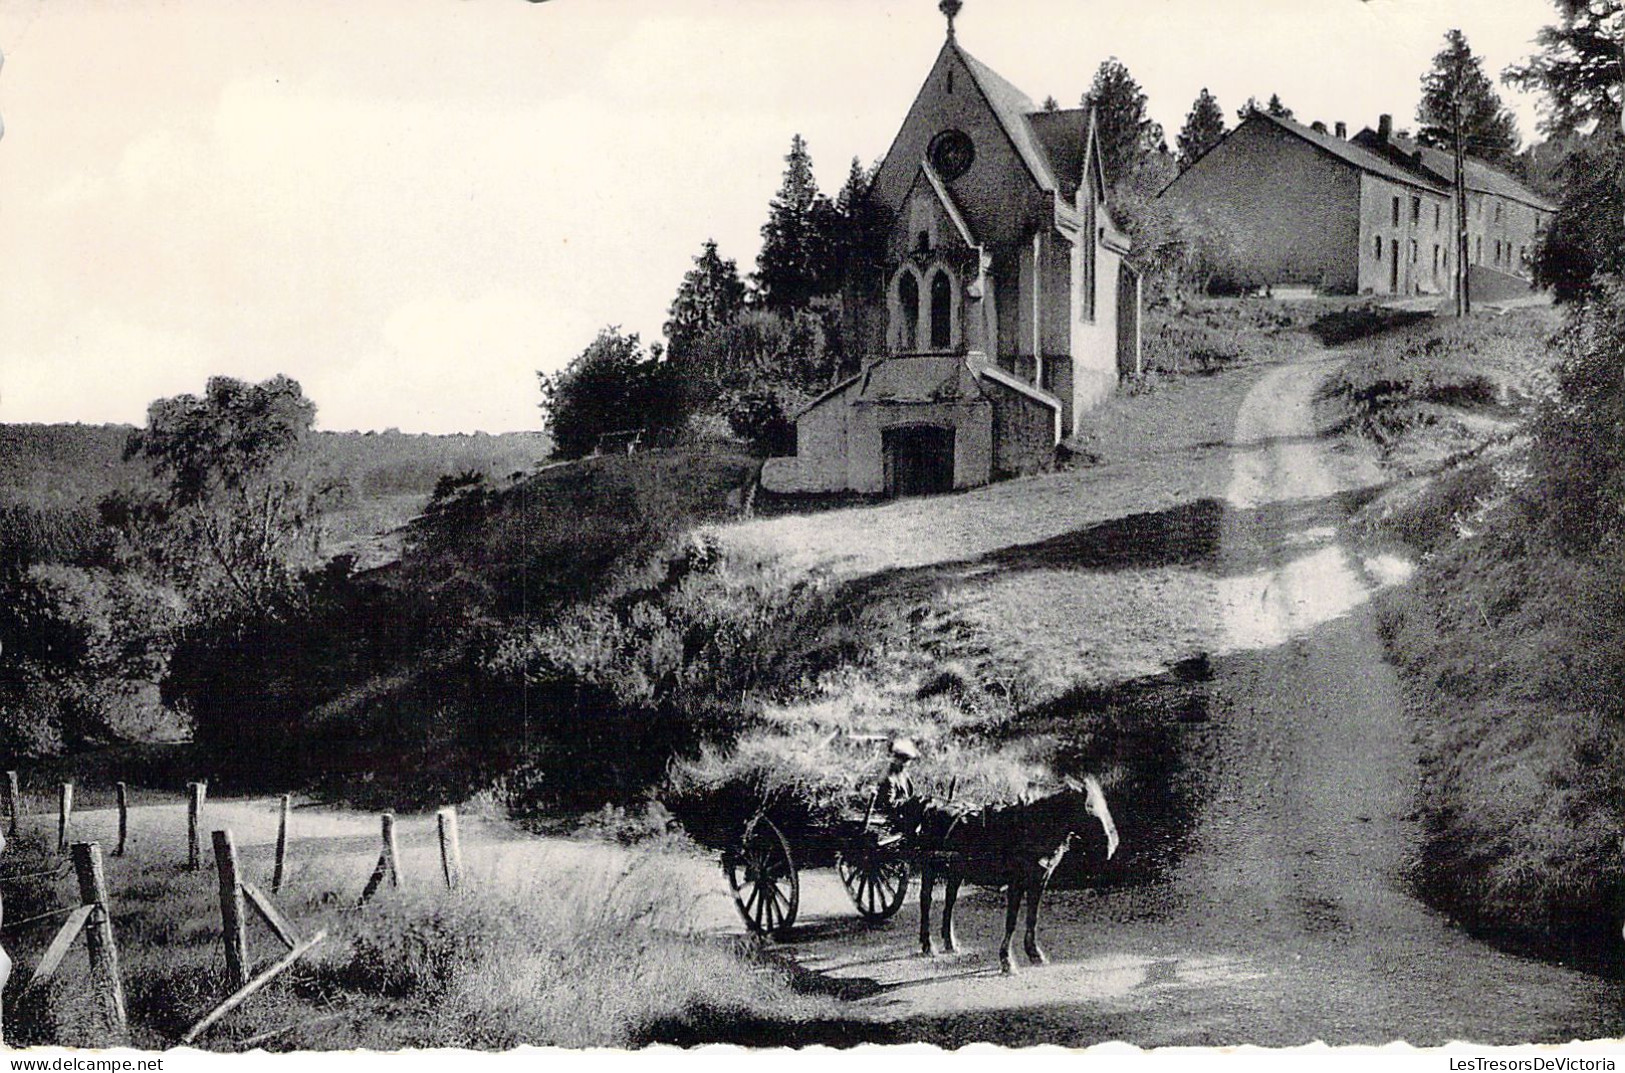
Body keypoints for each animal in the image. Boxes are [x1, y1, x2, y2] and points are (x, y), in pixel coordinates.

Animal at [916, 773, 1118, 975]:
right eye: (1090, 810)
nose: (1111, 847)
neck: (1029, 829)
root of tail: (933, 807)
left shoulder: (1039, 880)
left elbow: (1032, 918)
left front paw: (1034, 953)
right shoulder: (1016, 882)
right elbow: (1011, 921)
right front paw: (1007, 960)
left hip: (956, 871)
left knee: (949, 900)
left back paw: (950, 943)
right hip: (929, 869)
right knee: (926, 900)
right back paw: (928, 945)